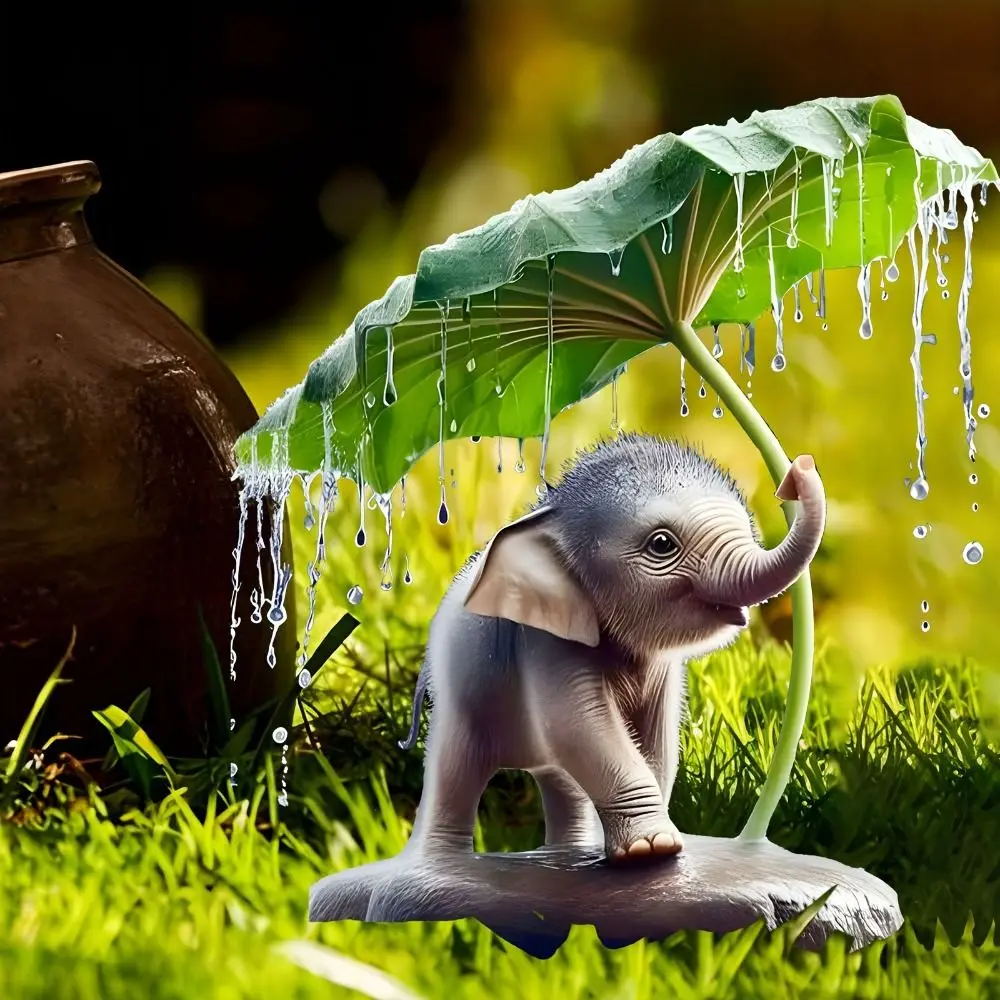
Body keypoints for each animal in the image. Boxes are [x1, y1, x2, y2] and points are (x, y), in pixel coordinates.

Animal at [398, 433, 826, 865]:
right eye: (661, 544)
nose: (798, 470)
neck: (553, 514)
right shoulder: (545, 642)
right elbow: (581, 726)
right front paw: (651, 849)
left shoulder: (661, 671)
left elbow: (656, 739)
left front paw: (648, 847)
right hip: (459, 699)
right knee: (455, 768)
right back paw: (440, 865)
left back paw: (567, 854)